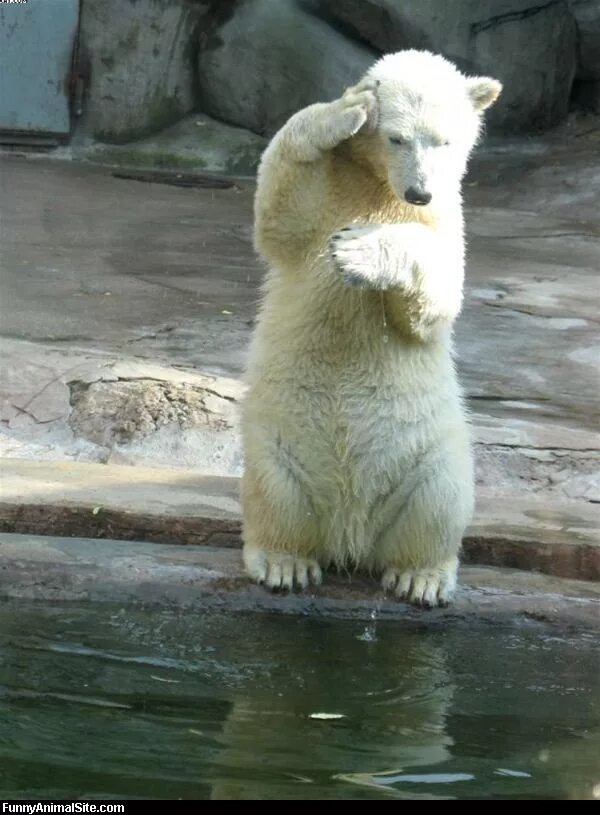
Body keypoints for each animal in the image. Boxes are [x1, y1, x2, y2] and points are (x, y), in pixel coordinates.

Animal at [241, 46, 500, 604]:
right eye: (397, 137)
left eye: (445, 140)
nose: (421, 191)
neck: (379, 185)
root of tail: (350, 535)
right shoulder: (326, 193)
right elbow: (278, 209)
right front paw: (346, 109)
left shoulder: (448, 221)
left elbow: (438, 296)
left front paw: (361, 251)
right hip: (276, 444)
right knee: (275, 495)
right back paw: (286, 564)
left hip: (433, 453)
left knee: (439, 502)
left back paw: (419, 577)